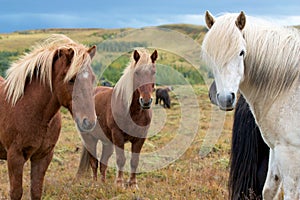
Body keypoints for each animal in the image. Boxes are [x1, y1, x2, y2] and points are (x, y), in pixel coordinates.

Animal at [0, 34, 96, 200]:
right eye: (71, 79)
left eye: (92, 79)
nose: (89, 121)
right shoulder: (15, 158)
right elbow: (16, 192)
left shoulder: (43, 157)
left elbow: (36, 190)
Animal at [77, 48, 157, 188]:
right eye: (136, 73)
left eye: (153, 72)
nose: (146, 101)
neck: (133, 112)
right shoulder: (118, 136)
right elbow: (121, 159)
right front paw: (119, 183)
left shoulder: (140, 138)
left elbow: (134, 161)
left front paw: (133, 184)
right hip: (90, 139)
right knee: (94, 162)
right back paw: (95, 183)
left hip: (107, 142)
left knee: (103, 163)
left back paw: (103, 183)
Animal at [202, 11, 300, 200]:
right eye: (210, 56)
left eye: (241, 52)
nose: (225, 98)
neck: (288, 87)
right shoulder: (275, 148)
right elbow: (269, 190)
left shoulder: (290, 153)